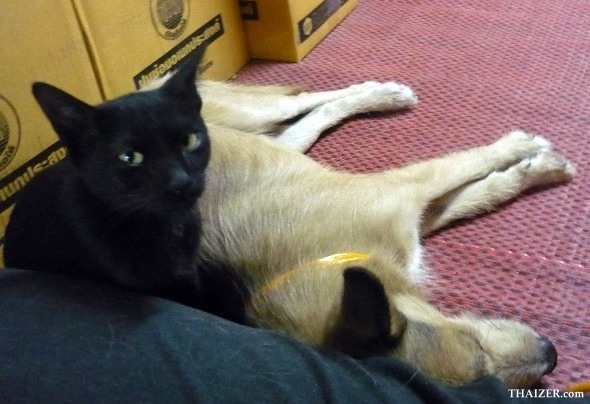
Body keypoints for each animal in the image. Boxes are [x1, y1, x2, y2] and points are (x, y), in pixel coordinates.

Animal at [192, 79, 576, 388]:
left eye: (475, 343)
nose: (553, 353)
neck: (312, 259)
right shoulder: (412, 209)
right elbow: (484, 187)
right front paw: (534, 165)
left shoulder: (407, 188)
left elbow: (477, 167)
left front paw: (530, 156)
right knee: (312, 116)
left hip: (256, 115)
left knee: (307, 100)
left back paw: (385, 93)